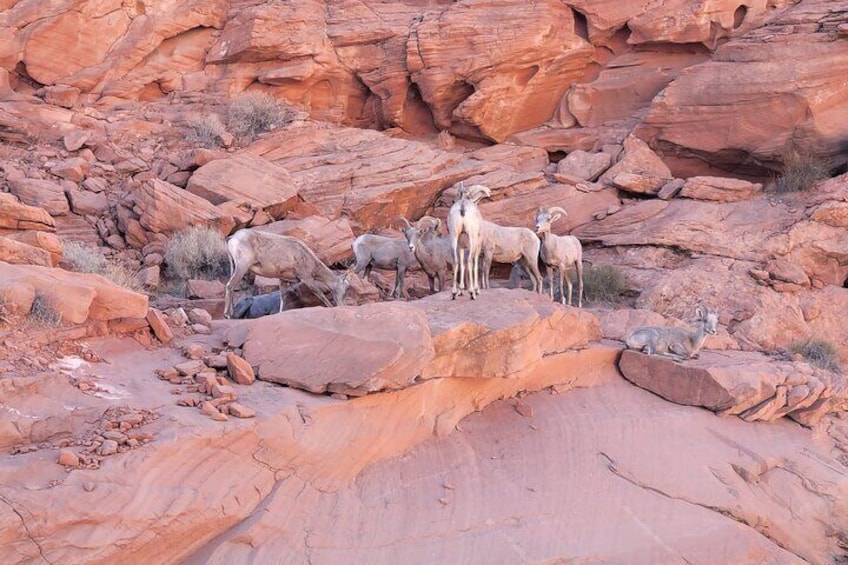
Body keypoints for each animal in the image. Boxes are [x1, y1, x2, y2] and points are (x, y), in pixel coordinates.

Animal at [222, 228, 352, 318]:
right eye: (344, 289)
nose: (343, 305)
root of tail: (232, 239)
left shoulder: (283, 279)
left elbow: (283, 297)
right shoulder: (306, 278)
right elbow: (320, 294)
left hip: (234, 266)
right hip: (242, 266)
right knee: (230, 285)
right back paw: (227, 315)